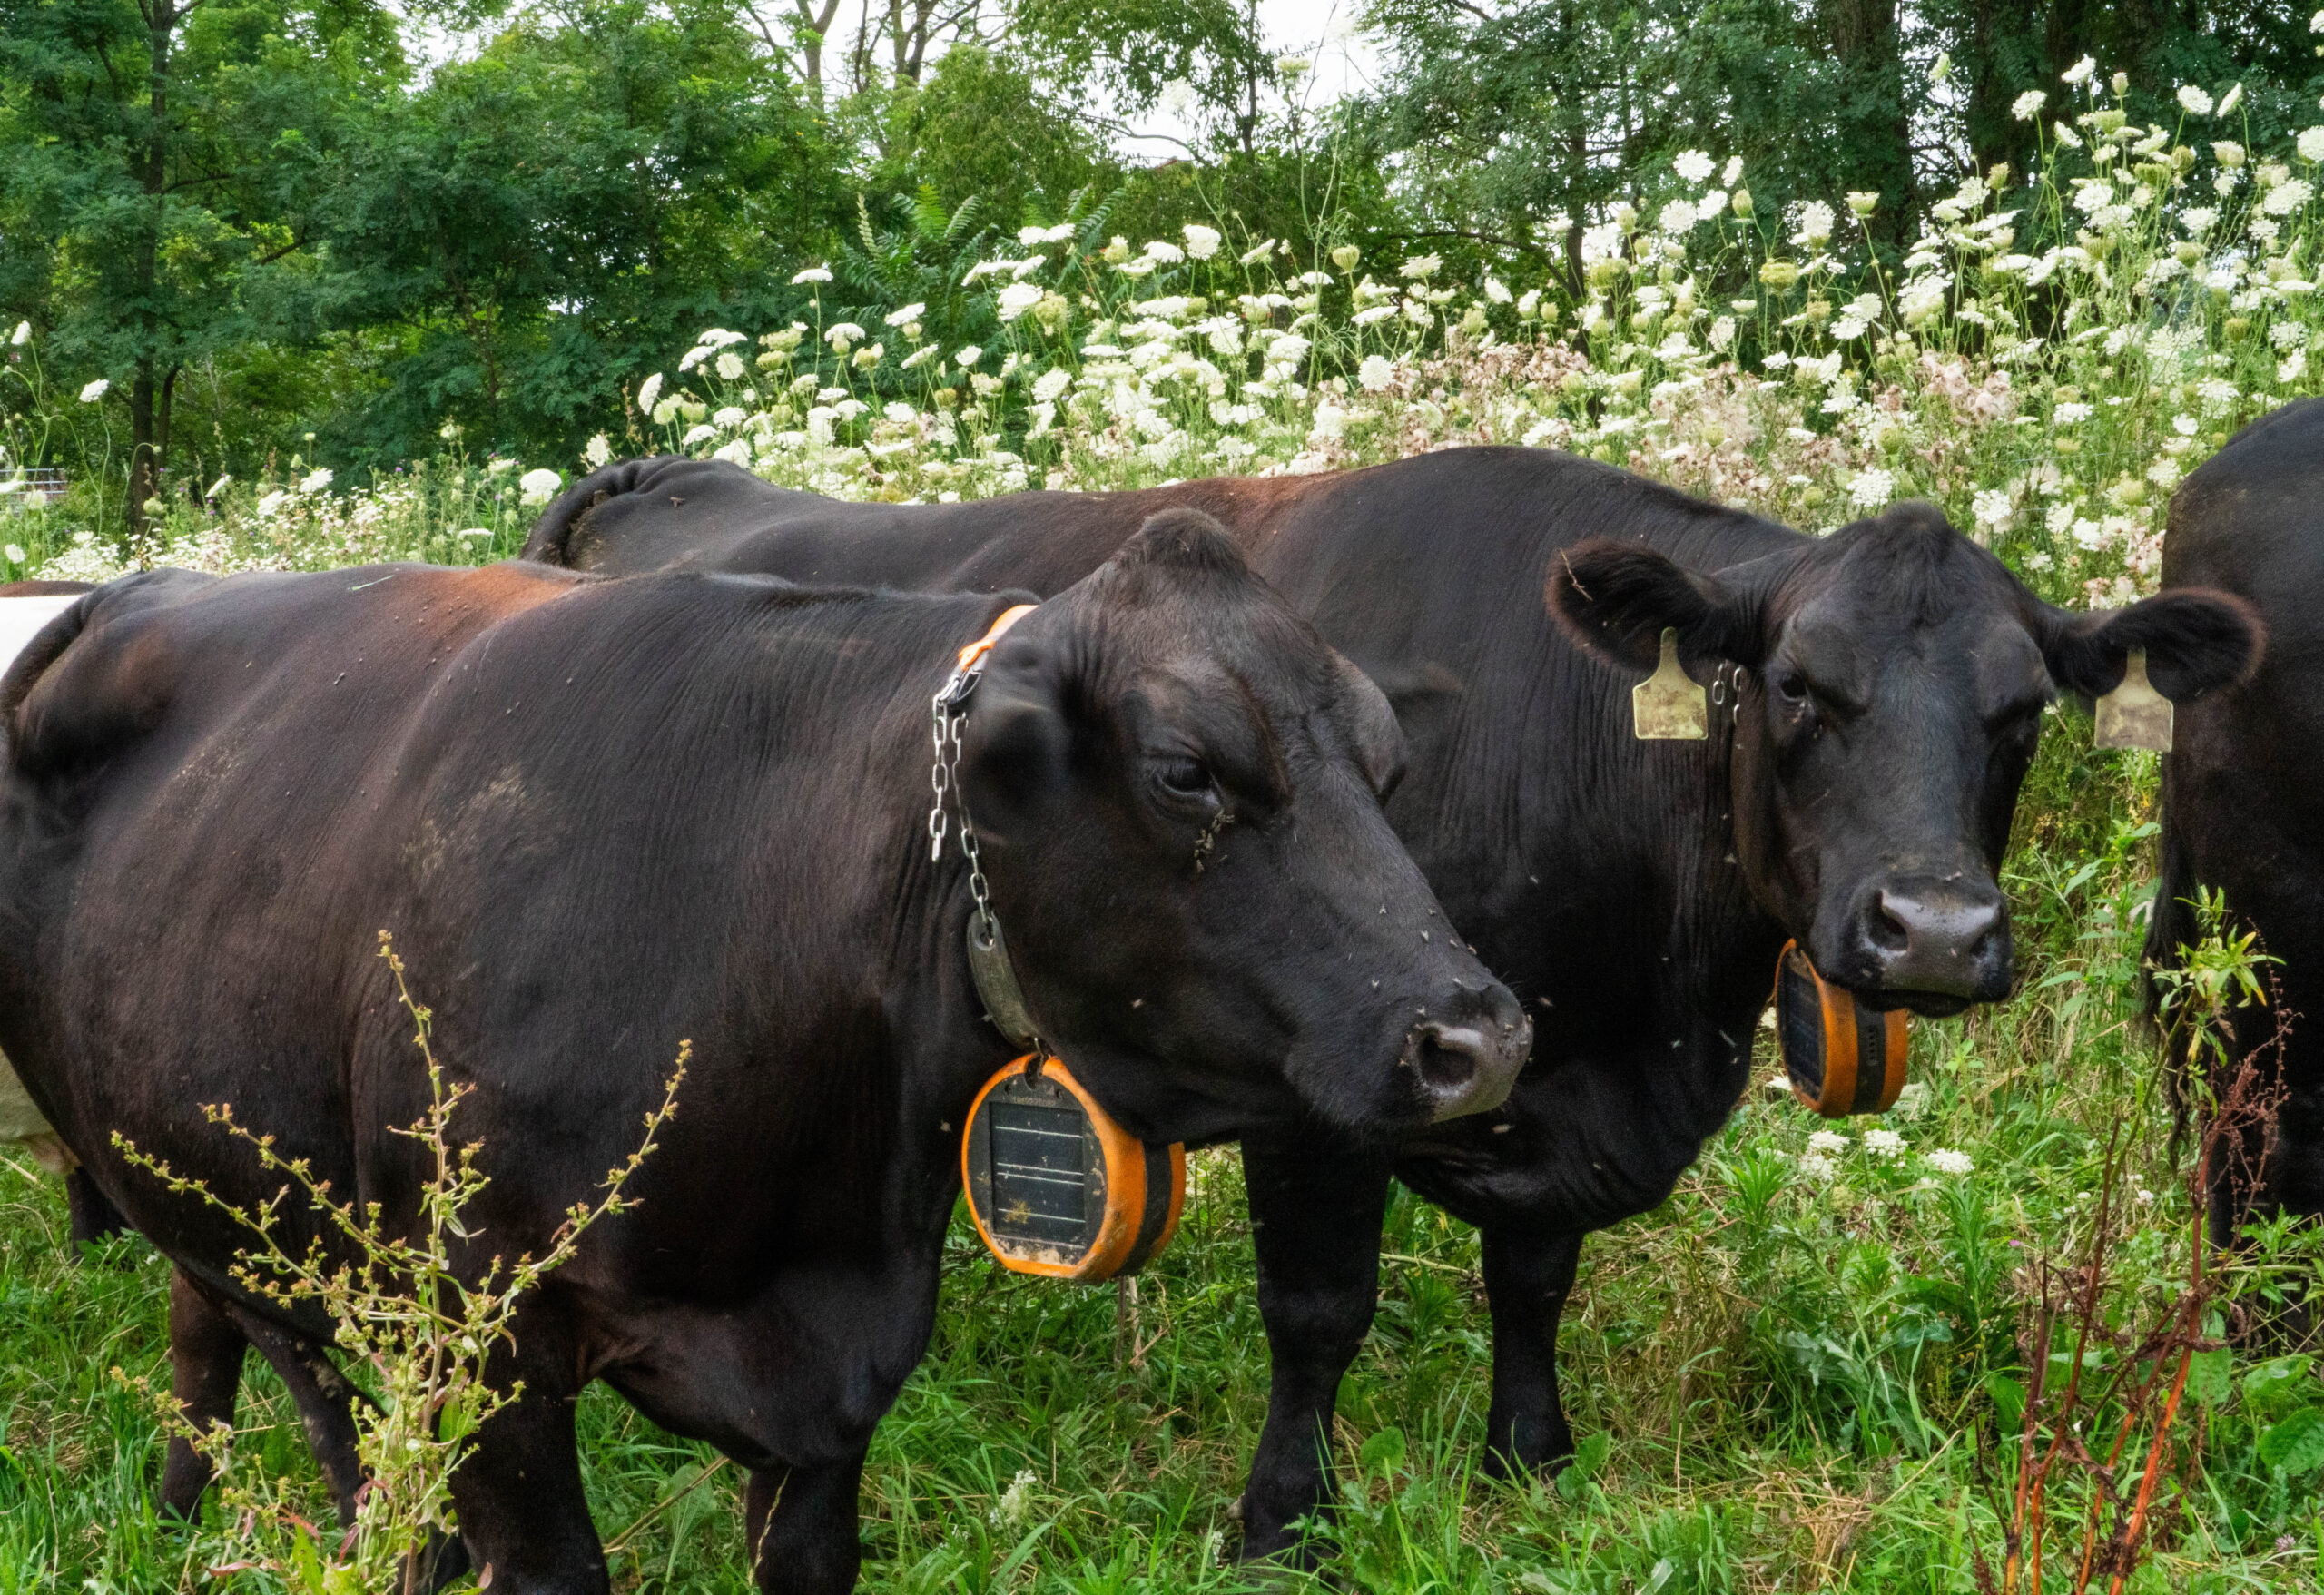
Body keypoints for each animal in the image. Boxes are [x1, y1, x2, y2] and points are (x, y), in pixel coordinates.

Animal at [0, 511, 1529, 1594]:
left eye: (1387, 768)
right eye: (1188, 770)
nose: (1479, 1035)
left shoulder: (837, 1380)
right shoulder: (491, 1331)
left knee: (224, 1339)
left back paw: (213, 1519)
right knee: (295, 1380)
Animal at [521, 446, 2264, 1559]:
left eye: (2024, 710)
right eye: (1796, 686)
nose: (1932, 930)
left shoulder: (1534, 1070)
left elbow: (1536, 1277)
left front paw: (1531, 1457)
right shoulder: (1334, 1068)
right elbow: (1321, 1309)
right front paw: (1283, 1523)